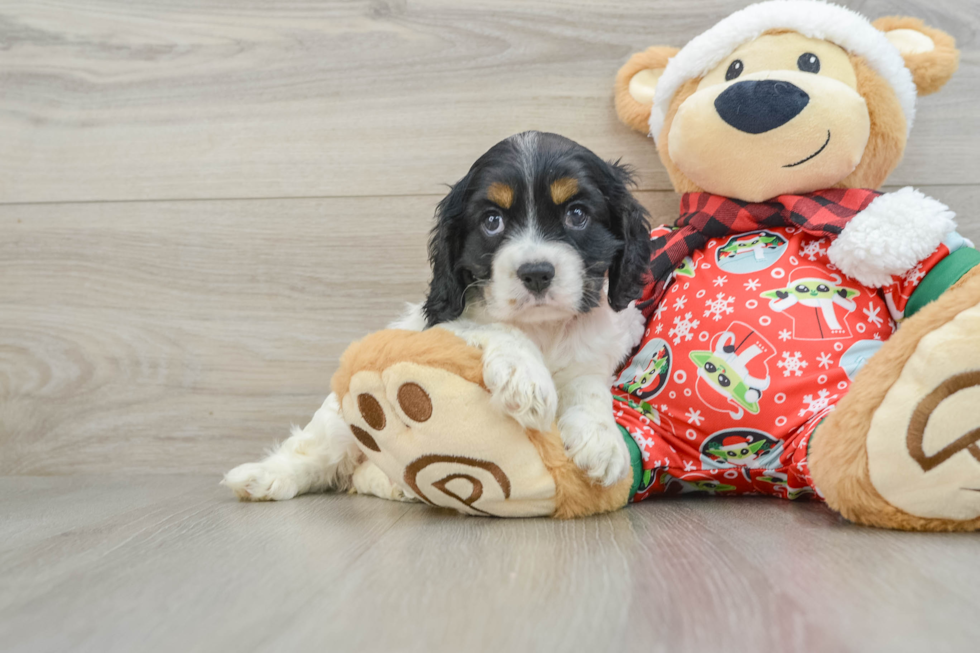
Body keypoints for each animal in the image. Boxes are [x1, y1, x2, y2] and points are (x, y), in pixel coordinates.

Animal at [222, 131, 652, 500]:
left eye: (577, 214)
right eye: (492, 221)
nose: (536, 273)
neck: (542, 328)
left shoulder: (596, 349)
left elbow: (588, 385)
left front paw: (602, 440)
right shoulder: (439, 326)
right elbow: (494, 328)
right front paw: (526, 379)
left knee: (360, 475)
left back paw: (391, 484)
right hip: (339, 421)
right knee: (317, 452)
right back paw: (264, 477)